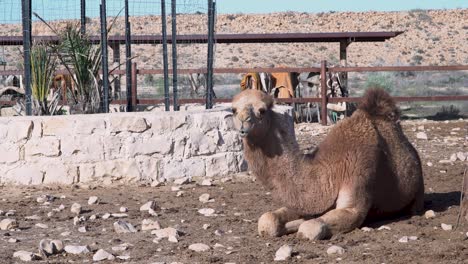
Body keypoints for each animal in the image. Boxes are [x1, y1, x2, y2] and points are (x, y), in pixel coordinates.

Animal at [230, 88, 424, 239]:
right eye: (233, 110)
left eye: (262, 110)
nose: (243, 123)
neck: (329, 172)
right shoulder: (309, 204)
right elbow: (268, 219)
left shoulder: (357, 185)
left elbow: (310, 227)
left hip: (417, 192)